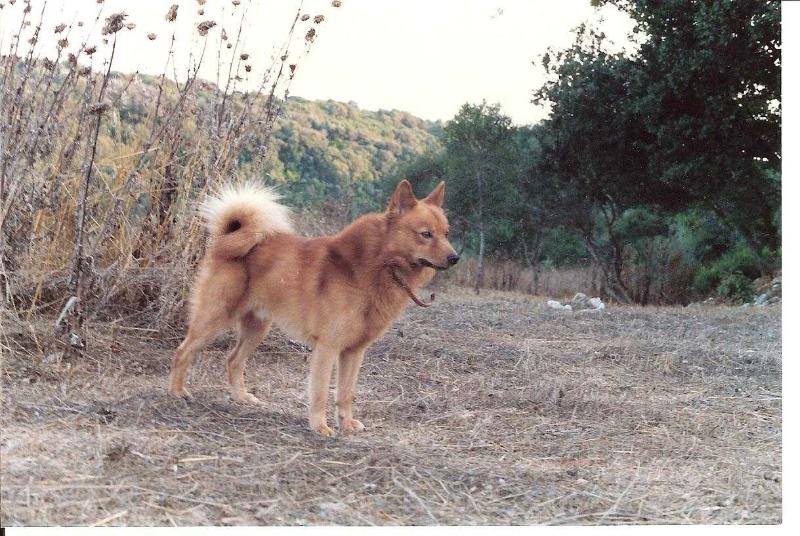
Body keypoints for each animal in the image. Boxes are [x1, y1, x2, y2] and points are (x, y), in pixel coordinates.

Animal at [167, 180, 456, 436]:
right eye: (426, 234)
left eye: (446, 233)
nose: (455, 257)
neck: (378, 266)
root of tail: (228, 237)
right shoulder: (327, 349)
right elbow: (320, 393)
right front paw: (320, 426)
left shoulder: (354, 352)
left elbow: (345, 393)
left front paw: (346, 423)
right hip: (213, 319)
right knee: (182, 352)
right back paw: (177, 392)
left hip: (257, 328)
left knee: (233, 360)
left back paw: (241, 398)